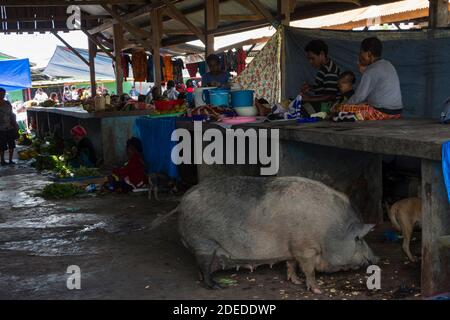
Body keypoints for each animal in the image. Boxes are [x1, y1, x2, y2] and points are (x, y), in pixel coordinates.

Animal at [178, 176, 378, 294]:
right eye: (359, 239)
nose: (376, 258)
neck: (329, 230)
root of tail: (184, 199)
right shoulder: (305, 248)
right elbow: (309, 270)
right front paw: (317, 290)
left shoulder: (291, 248)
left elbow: (291, 264)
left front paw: (295, 281)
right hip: (203, 242)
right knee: (204, 265)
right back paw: (217, 286)